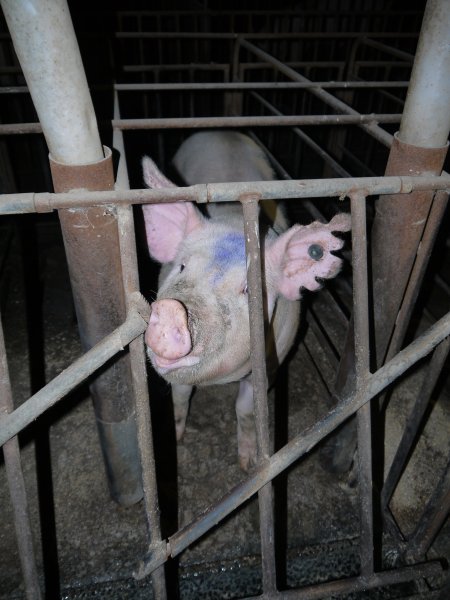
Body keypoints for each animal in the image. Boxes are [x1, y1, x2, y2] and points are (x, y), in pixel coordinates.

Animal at [141, 132, 352, 474]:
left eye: (247, 290)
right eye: (182, 266)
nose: (172, 310)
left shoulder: (272, 361)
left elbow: (246, 409)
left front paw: (247, 464)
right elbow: (181, 395)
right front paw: (177, 437)